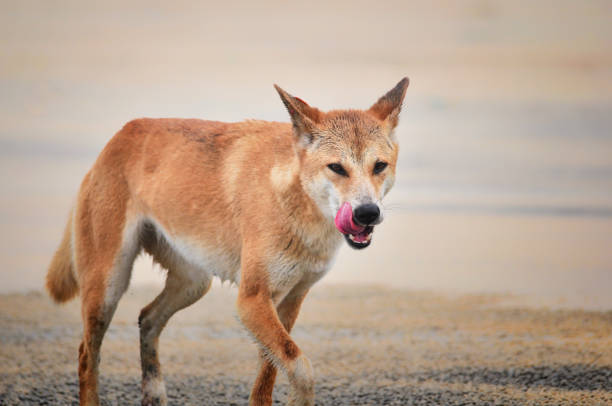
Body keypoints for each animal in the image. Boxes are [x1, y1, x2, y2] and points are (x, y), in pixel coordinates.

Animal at [45, 77, 408, 406]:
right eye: (337, 168)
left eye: (379, 166)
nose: (367, 213)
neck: (294, 202)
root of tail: (117, 137)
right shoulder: (252, 300)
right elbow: (302, 368)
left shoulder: (289, 300)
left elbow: (269, 374)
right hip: (108, 287)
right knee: (86, 355)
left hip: (193, 283)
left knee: (146, 319)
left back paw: (154, 392)